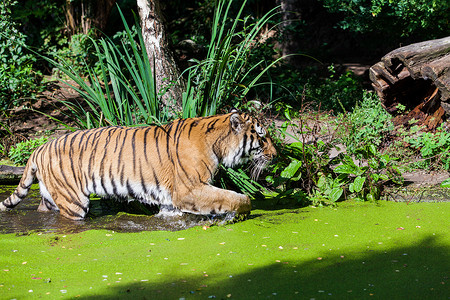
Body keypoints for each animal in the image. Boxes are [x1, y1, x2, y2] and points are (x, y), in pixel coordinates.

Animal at [0, 110, 276, 220]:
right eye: (262, 137)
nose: (276, 154)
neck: (217, 143)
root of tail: (39, 147)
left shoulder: (172, 198)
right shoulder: (189, 189)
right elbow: (235, 197)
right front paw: (244, 209)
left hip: (50, 198)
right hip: (73, 201)